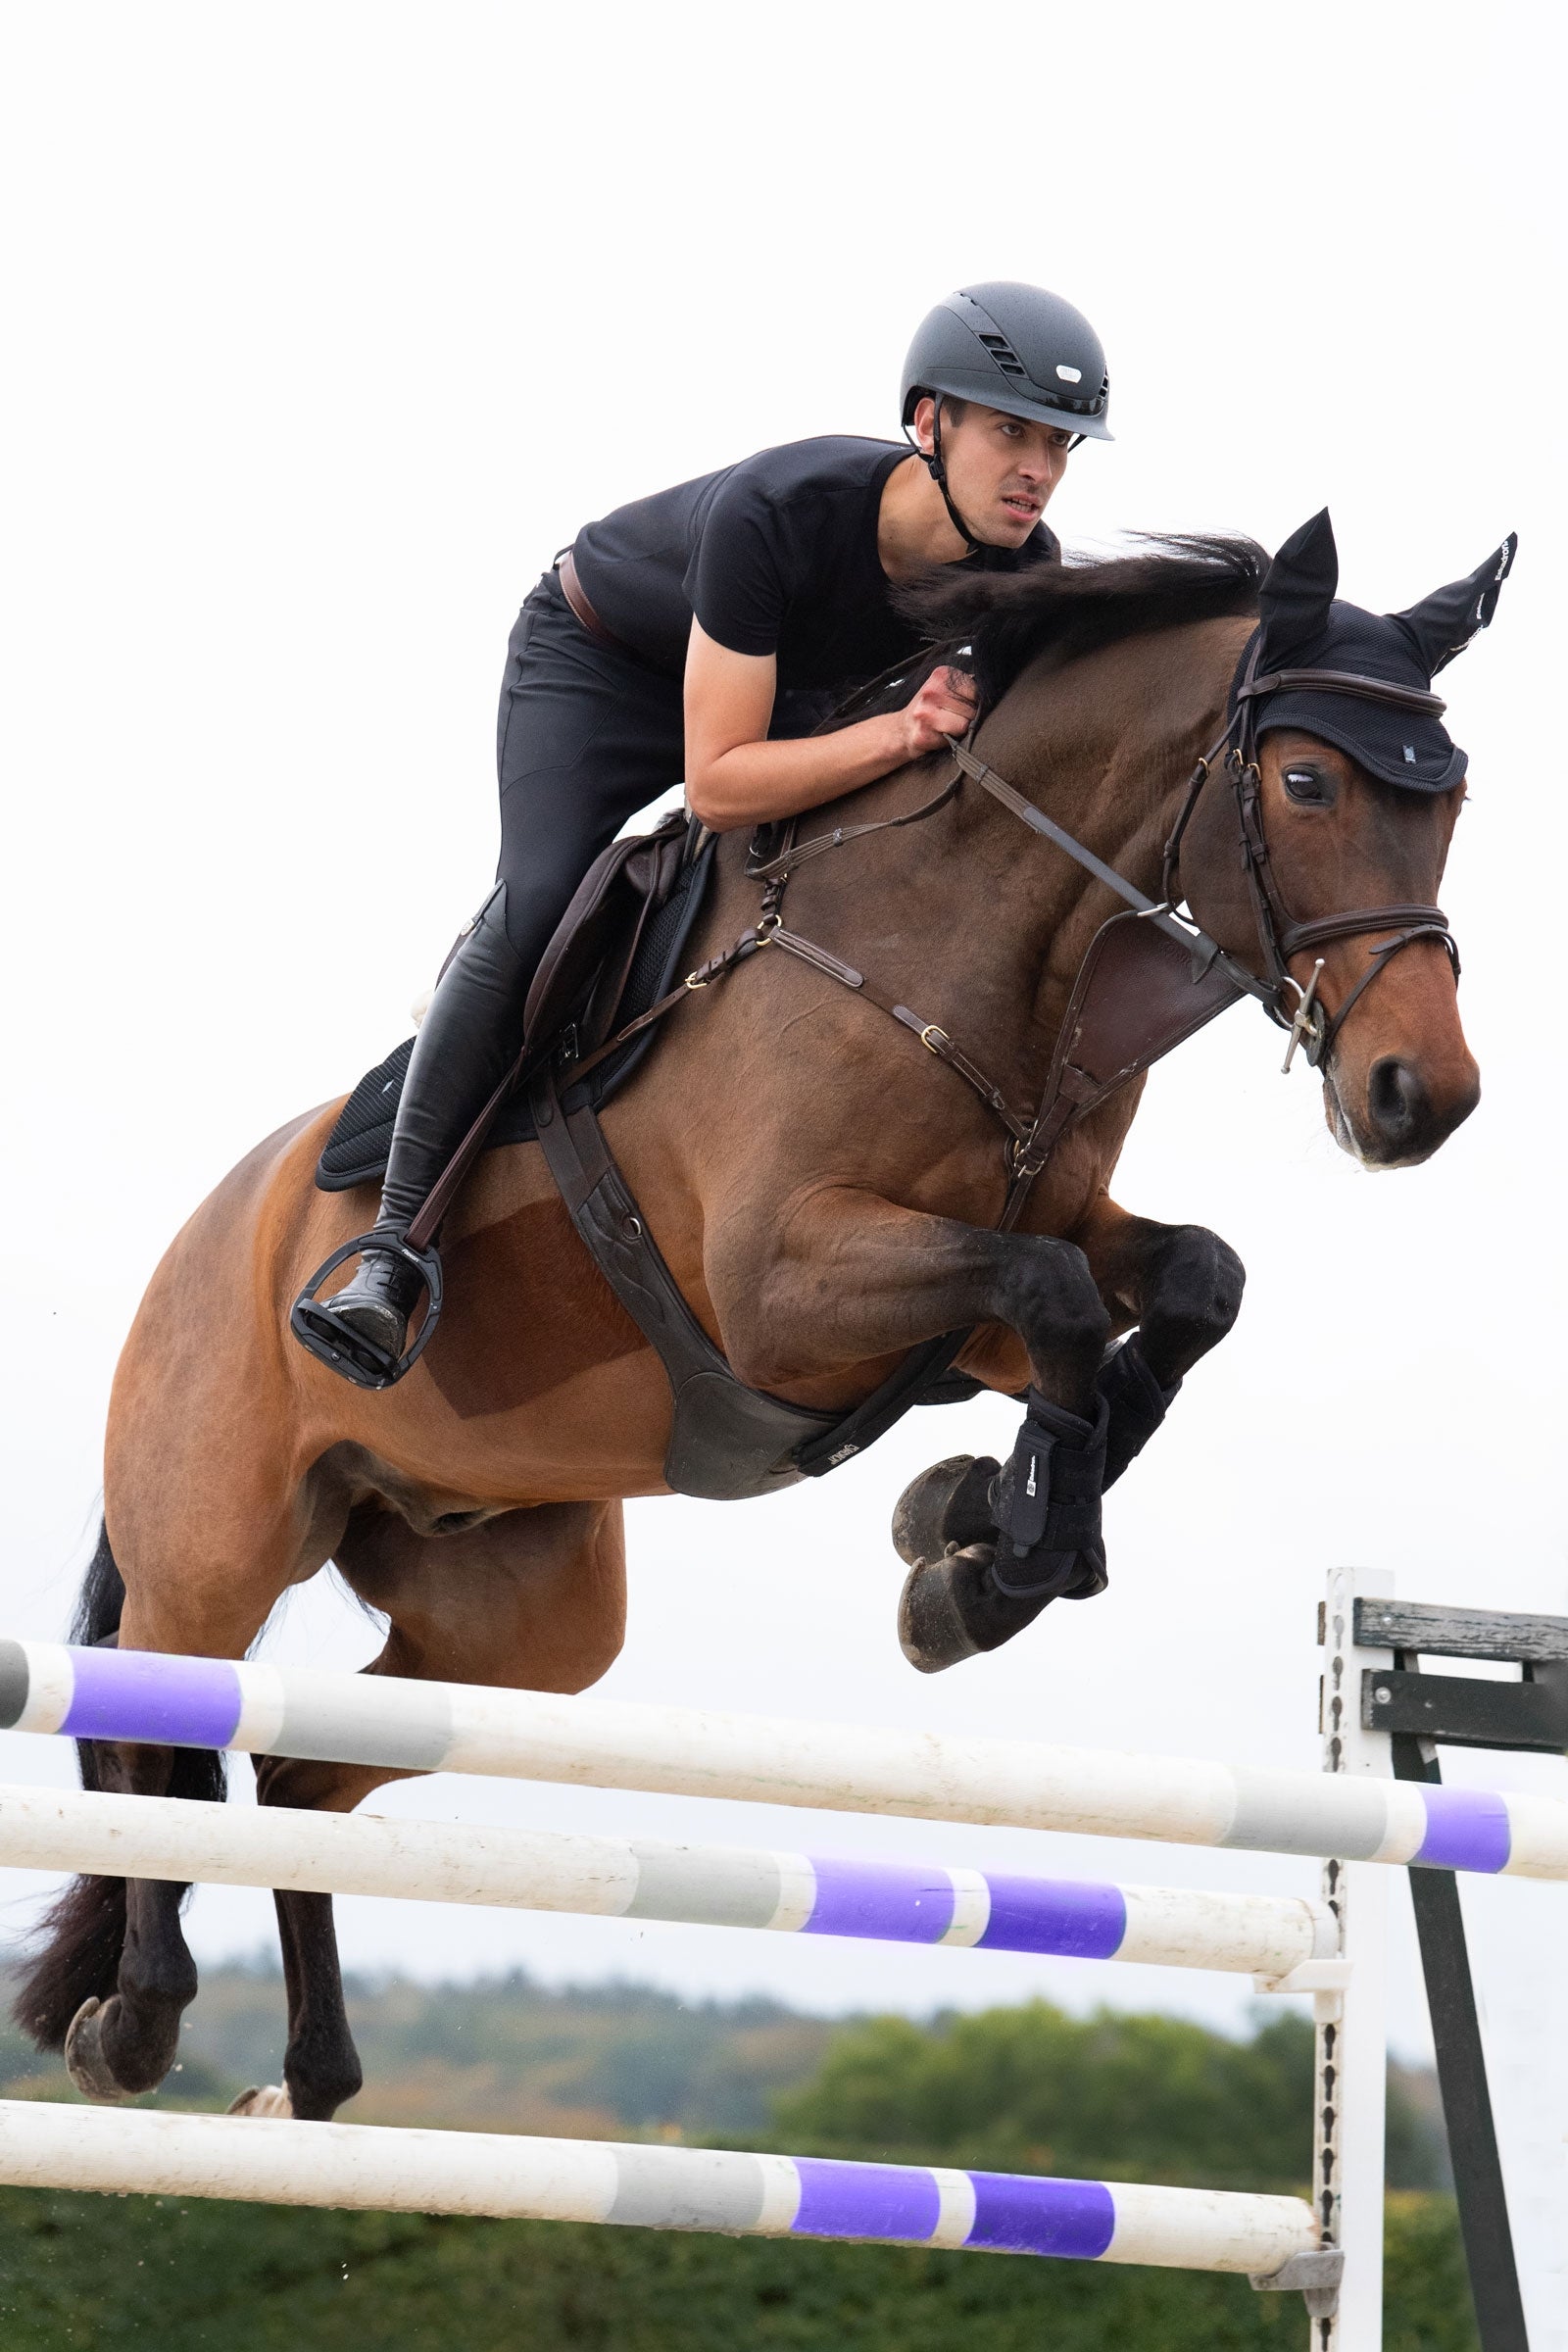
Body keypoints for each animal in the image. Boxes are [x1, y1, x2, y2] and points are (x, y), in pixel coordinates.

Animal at [15, 512, 1506, 2126]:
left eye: (1448, 800)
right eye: (1305, 784)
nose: (1423, 1097)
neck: (970, 941)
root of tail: (203, 1237)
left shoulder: (971, 1284)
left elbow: (1184, 1288)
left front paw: (970, 1536)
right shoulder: (782, 1292)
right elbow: (1051, 1298)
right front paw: (999, 1549)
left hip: (519, 1616)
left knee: (297, 1783)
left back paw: (309, 2079)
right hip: (216, 1544)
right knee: (160, 1734)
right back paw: (137, 2015)